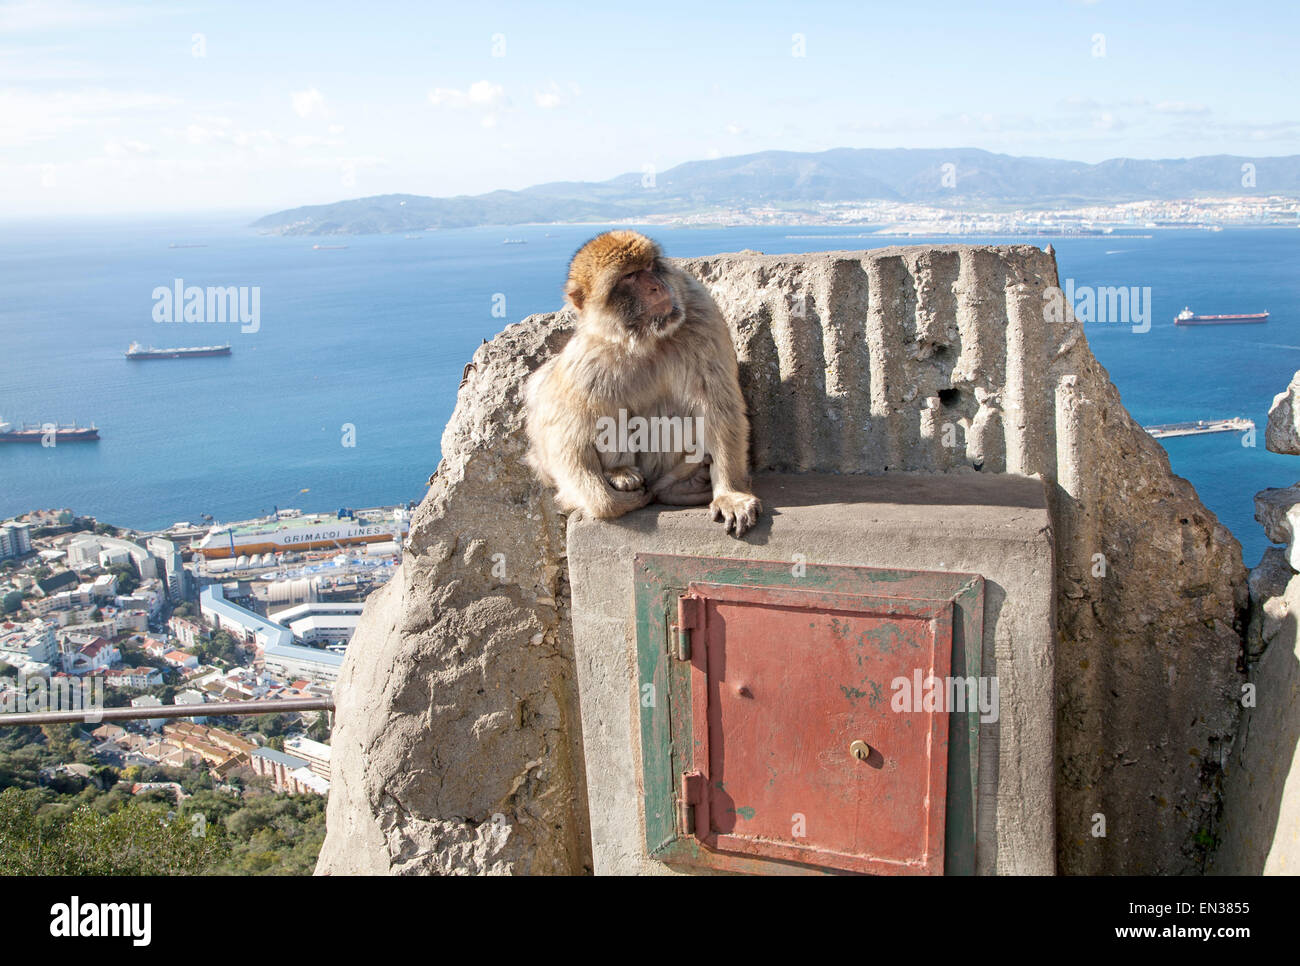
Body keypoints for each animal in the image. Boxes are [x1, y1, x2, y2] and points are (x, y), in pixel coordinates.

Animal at [522, 232, 759, 535]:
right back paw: (620, 474)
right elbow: (559, 427)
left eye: (649, 266)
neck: (647, 339)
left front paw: (730, 494)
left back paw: (681, 486)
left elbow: (718, 406)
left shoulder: (701, 313)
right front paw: (607, 503)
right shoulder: (589, 356)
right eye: (629, 276)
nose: (656, 287)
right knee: (606, 417)